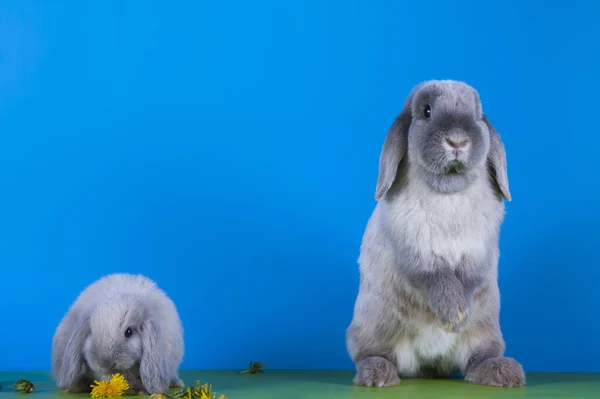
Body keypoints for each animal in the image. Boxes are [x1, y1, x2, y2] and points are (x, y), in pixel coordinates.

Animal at [346, 79, 524, 390]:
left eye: (477, 115)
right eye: (426, 111)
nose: (457, 141)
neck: (448, 190)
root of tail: (429, 362)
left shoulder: (480, 251)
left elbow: (470, 277)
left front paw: (461, 313)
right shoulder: (414, 251)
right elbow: (436, 277)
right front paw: (454, 312)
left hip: (485, 331)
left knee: (476, 360)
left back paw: (502, 372)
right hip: (375, 324)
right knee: (371, 353)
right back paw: (377, 374)